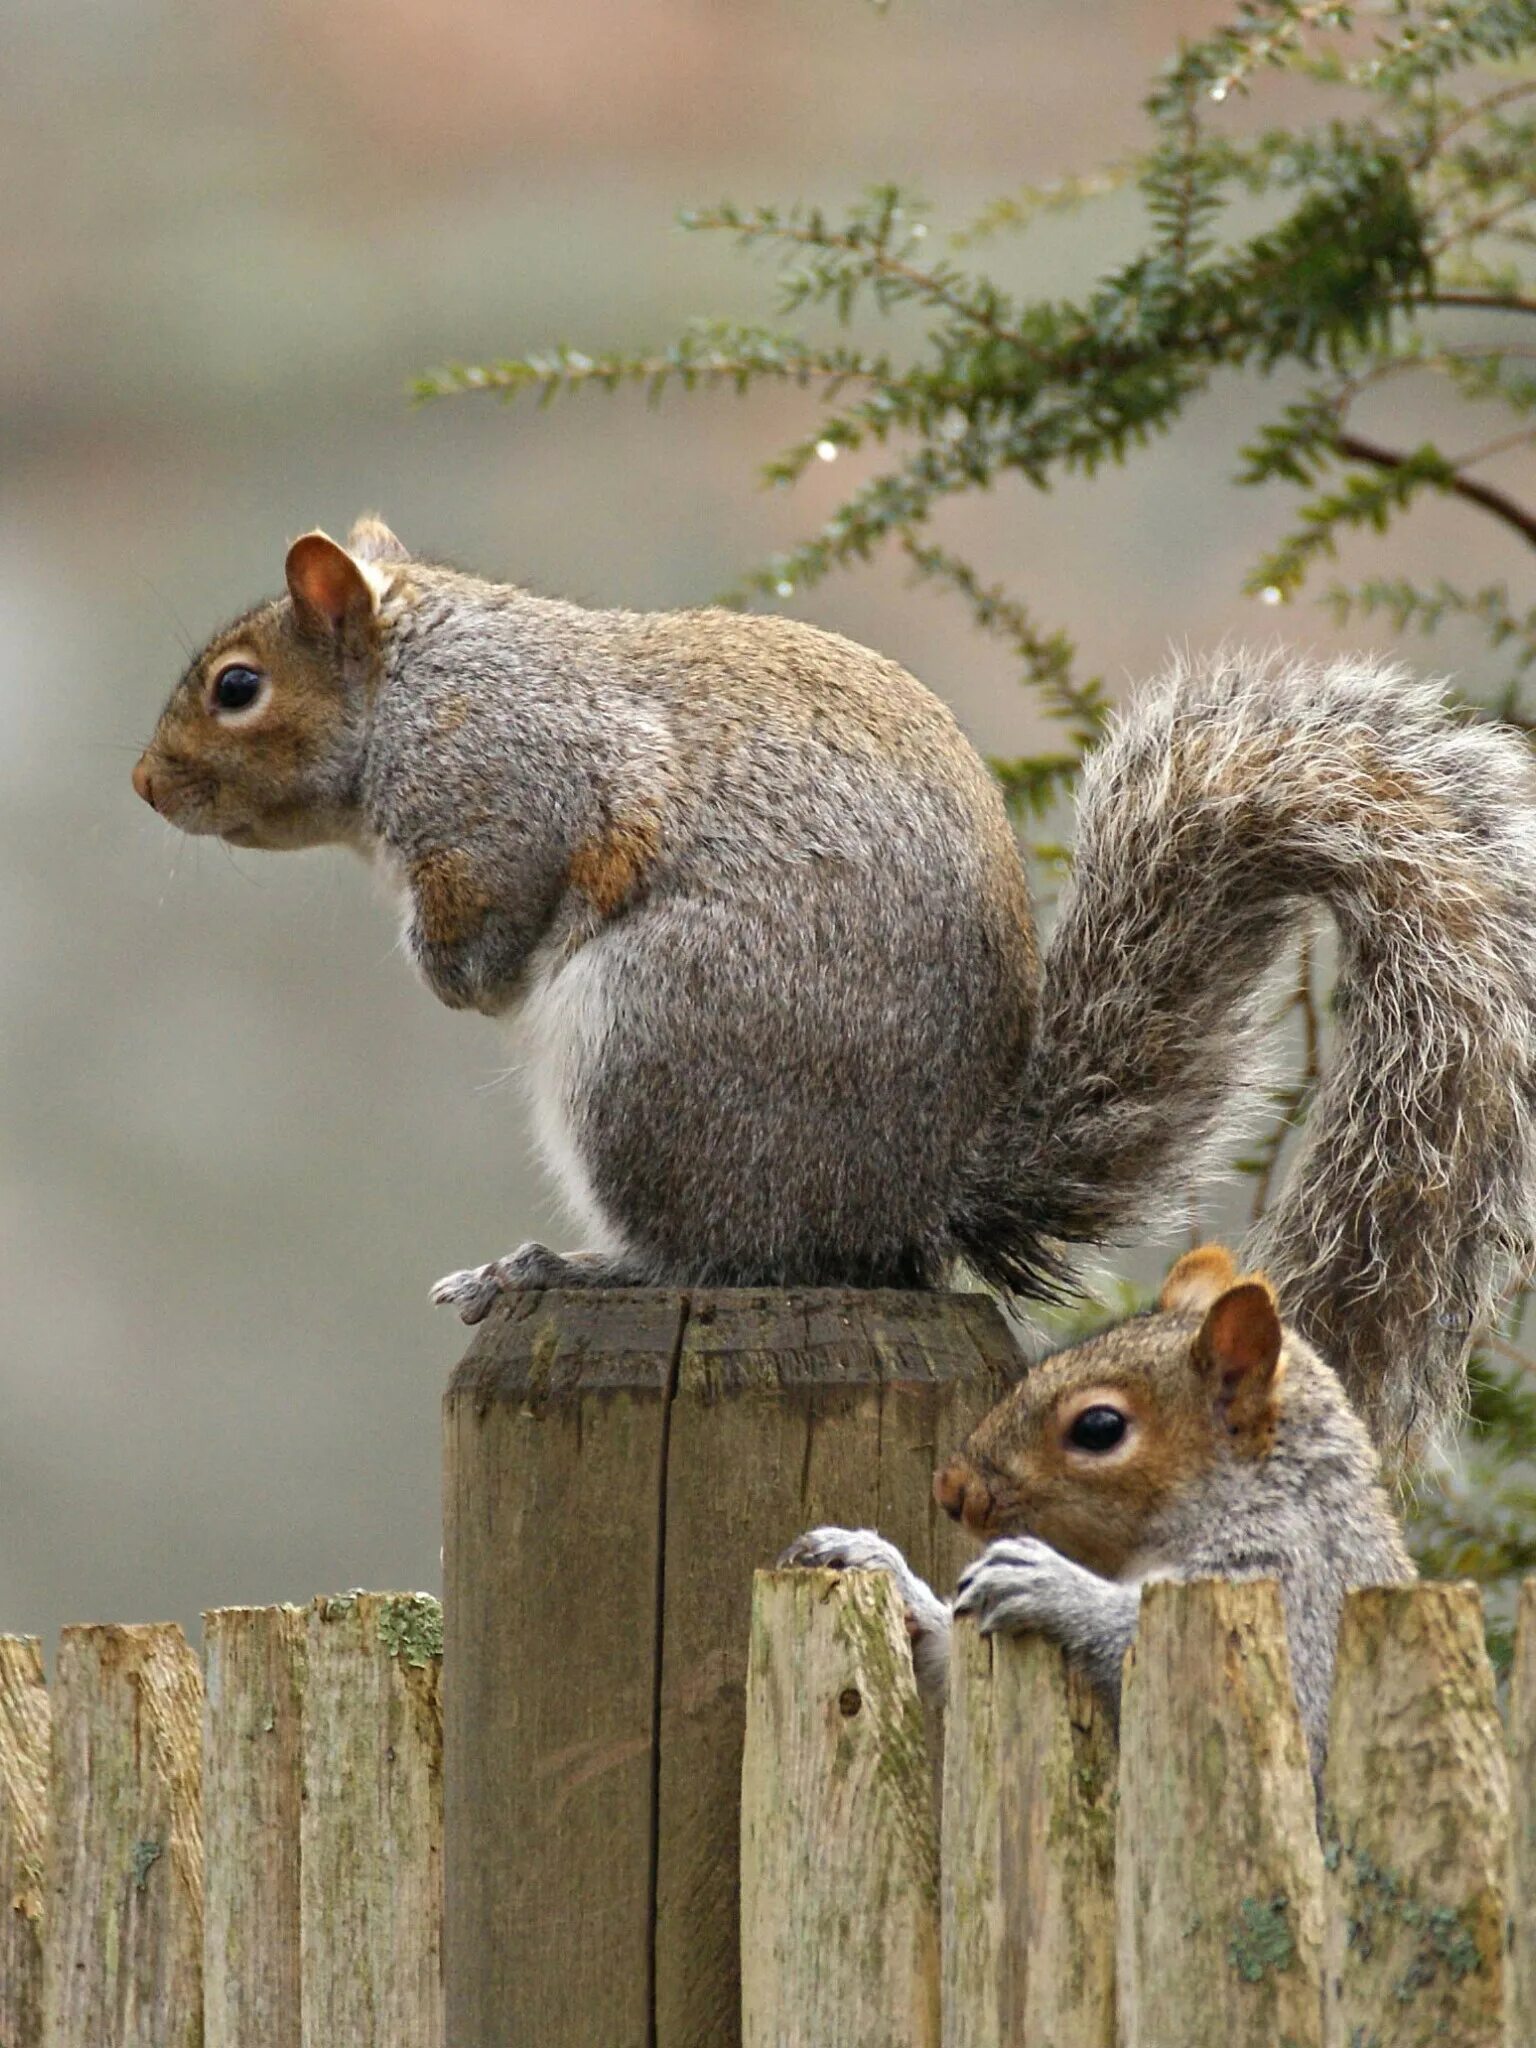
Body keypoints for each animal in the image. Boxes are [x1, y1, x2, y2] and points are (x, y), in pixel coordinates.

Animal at [132, 524, 1536, 1458]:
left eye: (238, 687)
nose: (145, 788)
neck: (418, 682)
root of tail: (919, 1190)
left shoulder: (504, 793)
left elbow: (492, 922)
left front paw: (444, 972)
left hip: (653, 1051)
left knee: (716, 1252)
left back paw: (553, 1269)